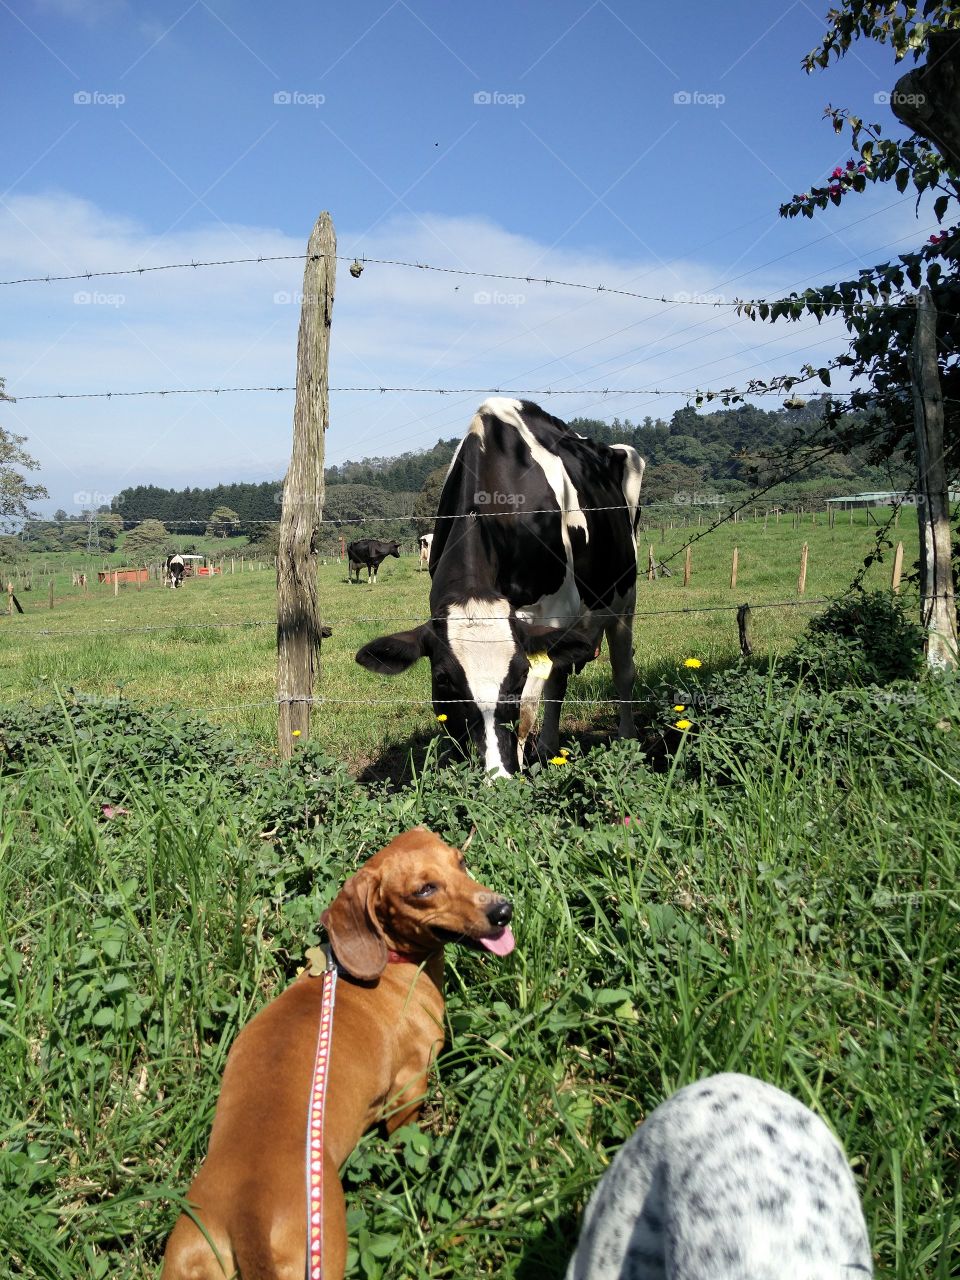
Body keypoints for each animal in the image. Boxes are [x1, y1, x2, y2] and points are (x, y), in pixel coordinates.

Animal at [355, 399, 647, 773]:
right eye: (443, 679)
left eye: (519, 674)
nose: (496, 773)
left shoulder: (553, 613)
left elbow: (528, 705)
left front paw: (514, 769)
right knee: (560, 680)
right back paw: (549, 747)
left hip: (623, 598)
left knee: (622, 670)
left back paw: (626, 738)